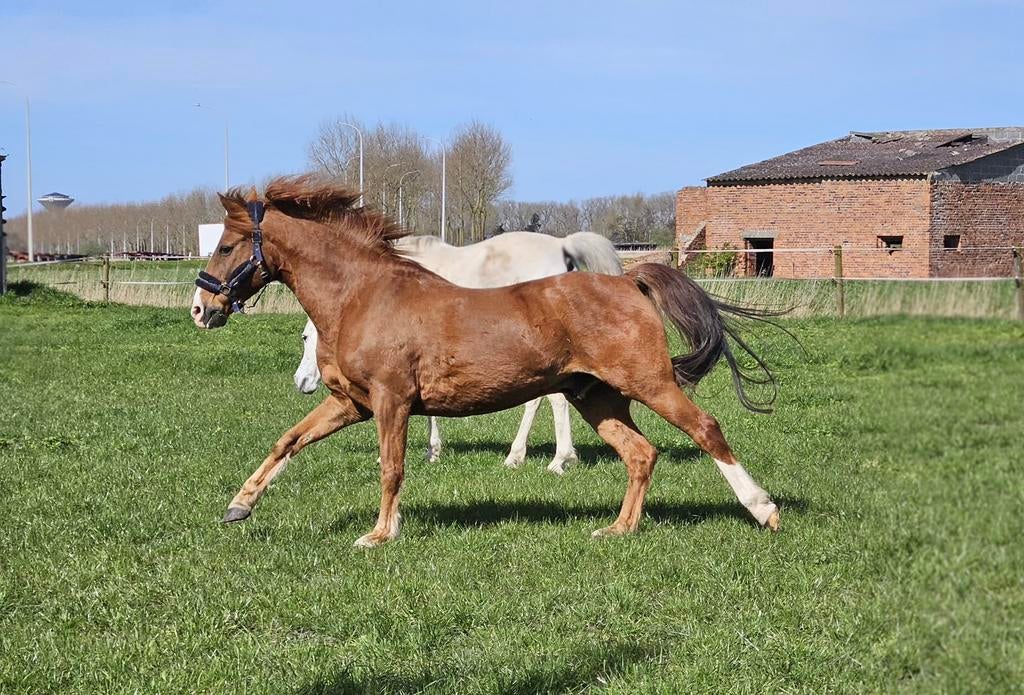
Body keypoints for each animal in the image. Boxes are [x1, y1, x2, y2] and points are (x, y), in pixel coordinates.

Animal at [291, 230, 624, 473]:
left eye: (307, 337)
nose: (301, 382)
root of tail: (561, 245)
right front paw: (432, 451)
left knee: (554, 400)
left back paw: (554, 459)